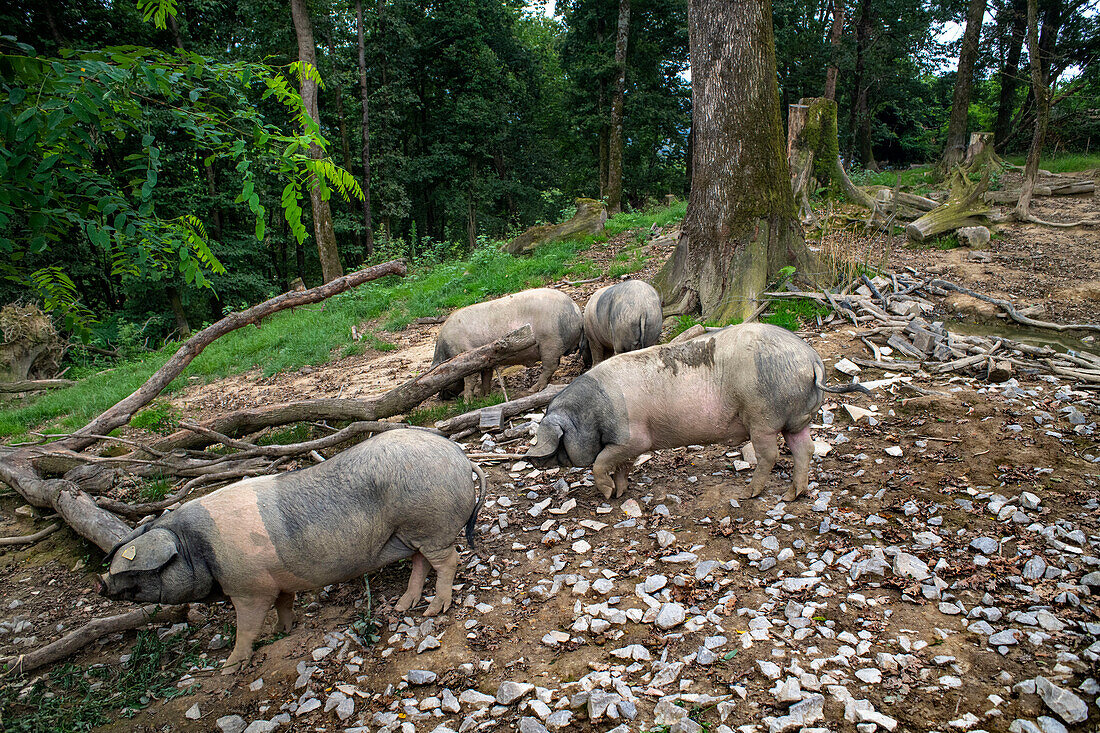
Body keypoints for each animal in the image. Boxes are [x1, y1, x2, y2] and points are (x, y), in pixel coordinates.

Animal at [99, 429, 486, 673]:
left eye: (131, 568)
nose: (102, 583)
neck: (197, 547)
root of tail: (459, 454)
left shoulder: (249, 587)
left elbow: (247, 627)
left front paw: (229, 668)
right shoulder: (277, 580)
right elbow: (284, 605)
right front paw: (283, 633)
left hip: (429, 524)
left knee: (449, 560)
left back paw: (435, 610)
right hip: (413, 531)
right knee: (421, 563)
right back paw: (403, 606)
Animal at [431, 286, 585, 400]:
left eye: (442, 384)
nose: (440, 397)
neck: (446, 351)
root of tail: (576, 310)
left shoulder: (464, 352)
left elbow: (470, 379)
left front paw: (467, 401)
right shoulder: (486, 360)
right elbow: (486, 375)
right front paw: (484, 395)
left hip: (550, 341)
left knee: (550, 366)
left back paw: (533, 389)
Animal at [523, 321, 866, 499]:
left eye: (553, 436)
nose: (531, 457)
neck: (590, 416)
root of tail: (812, 360)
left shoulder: (633, 438)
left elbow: (600, 463)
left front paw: (607, 495)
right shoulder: (627, 446)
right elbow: (621, 467)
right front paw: (621, 494)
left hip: (763, 417)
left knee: (770, 455)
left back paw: (748, 494)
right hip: (795, 420)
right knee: (805, 449)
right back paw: (793, 494)